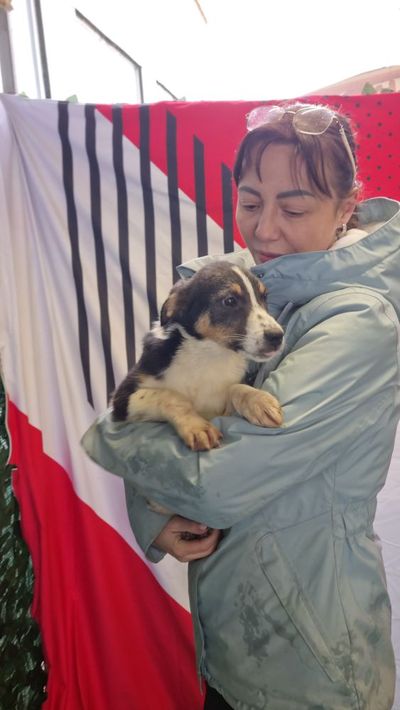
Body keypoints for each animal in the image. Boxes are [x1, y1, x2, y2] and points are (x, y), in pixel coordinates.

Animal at [111, 261, 284, 451]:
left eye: (264, 297)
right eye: (230, 301)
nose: (277, 336)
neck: (209, 354)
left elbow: (236, 387)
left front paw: (259, 400)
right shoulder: (122, 399)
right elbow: (167, 396)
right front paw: (197, 426)